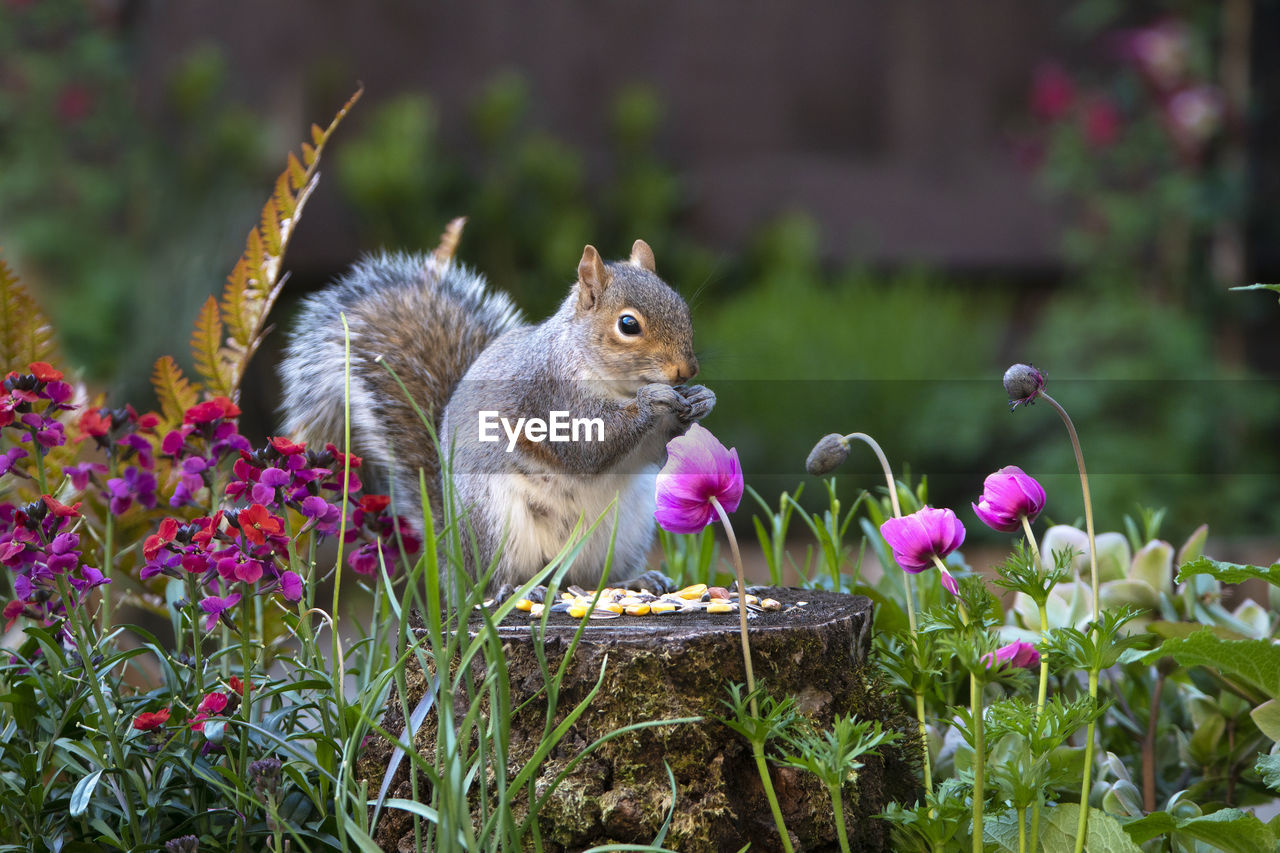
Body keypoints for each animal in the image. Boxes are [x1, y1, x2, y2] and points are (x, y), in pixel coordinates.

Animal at [280, 219, 716, 589]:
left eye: (683, 308)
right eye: (628, 325)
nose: (686, 370)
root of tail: (452, 558)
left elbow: (652, 452)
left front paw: (700, 399)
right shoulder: (550, 399)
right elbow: (588, 448)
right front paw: (652, 400)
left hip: (628, 527)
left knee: (594, 581)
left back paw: (634, 582)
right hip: (494, 520)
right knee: (494, 586)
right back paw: (523, 589)